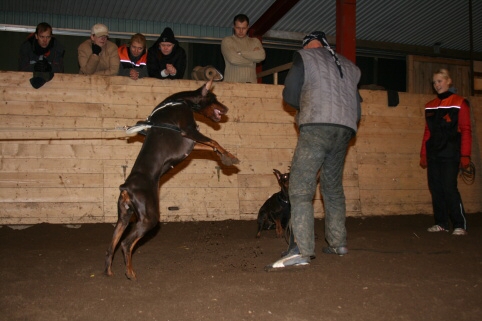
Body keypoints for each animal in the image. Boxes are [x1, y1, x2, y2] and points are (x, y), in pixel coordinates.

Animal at [106, 80, 241, 280]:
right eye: (214, 98)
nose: (227, 108)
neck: (180, 101)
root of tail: (126, 187)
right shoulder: (189, 131)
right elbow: (214, 142)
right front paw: (230, 157)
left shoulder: (191, 143)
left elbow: (211, 147)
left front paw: (226, 157)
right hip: (149, 217)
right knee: (126, 243)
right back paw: (130, 272)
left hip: (123, 217)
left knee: (111, 245)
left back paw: (108, 271)